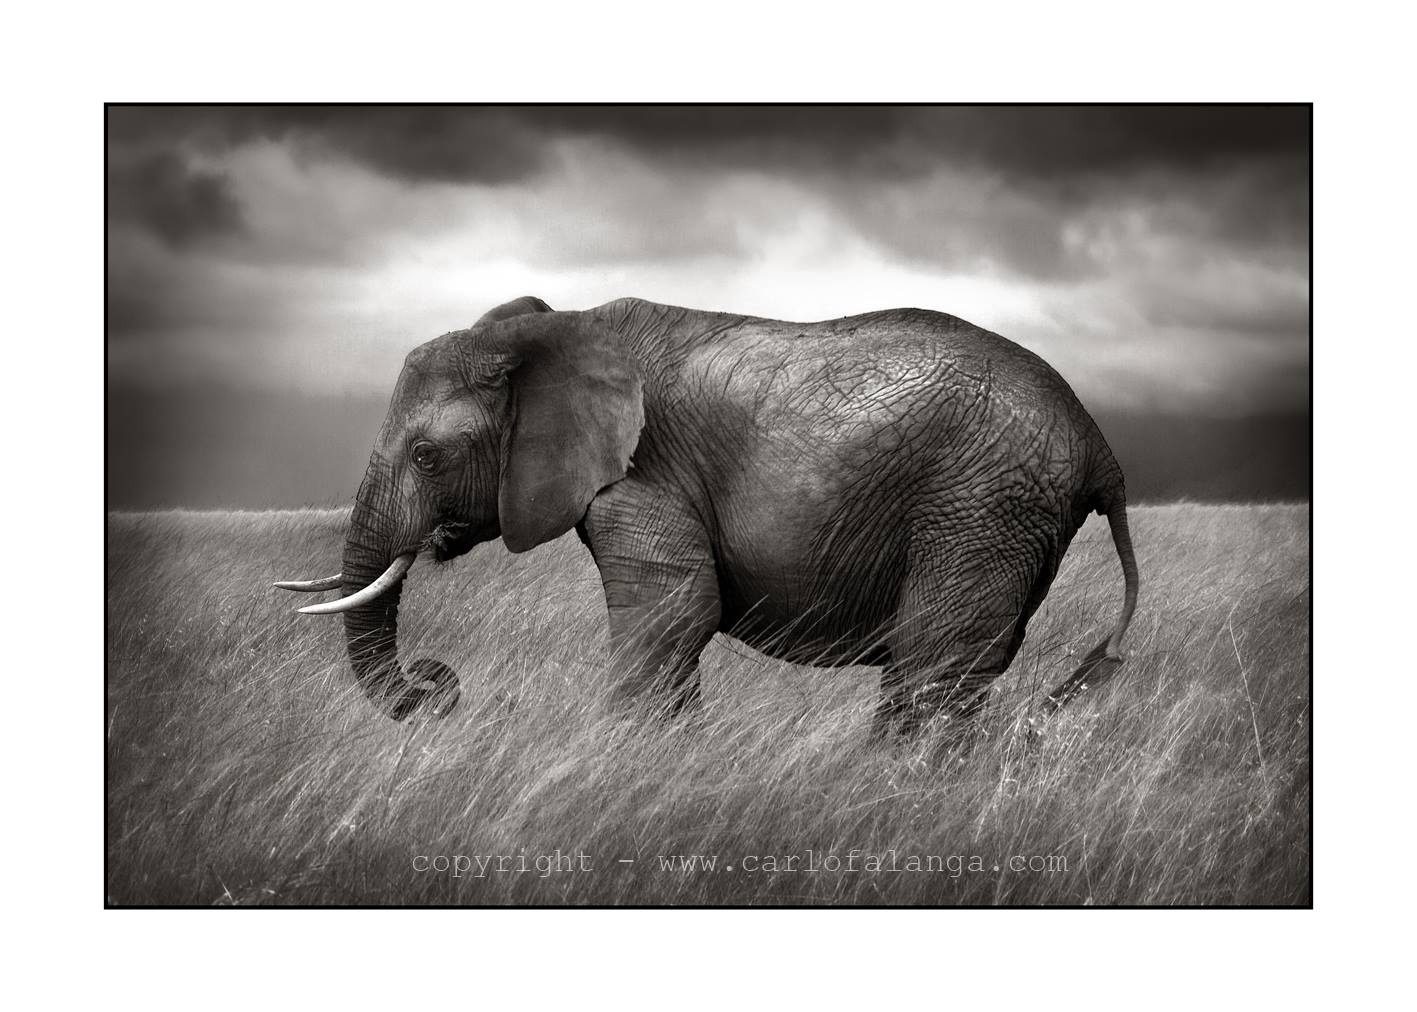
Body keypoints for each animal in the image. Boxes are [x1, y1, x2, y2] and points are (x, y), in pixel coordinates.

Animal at [277, 295, 1139, 735]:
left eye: (427, 456)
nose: (435, 687)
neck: (547, 330)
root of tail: (1101, 447)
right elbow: (673, 623)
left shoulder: (644, 468)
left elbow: (671, 612)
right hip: (1005, 512)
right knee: (943, 665)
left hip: (982, 502)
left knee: (932, 661)